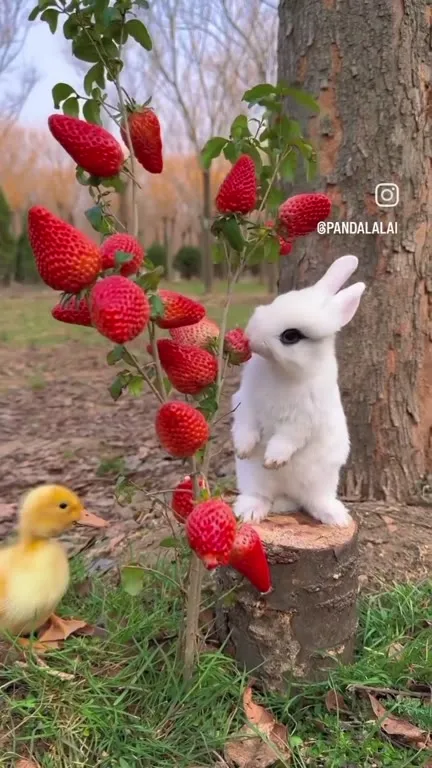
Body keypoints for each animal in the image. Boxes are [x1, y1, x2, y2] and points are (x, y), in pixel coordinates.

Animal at [231, 254, 365, 527]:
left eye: (291, 336)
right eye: (276, 302)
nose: (251, 336)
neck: (280, 371)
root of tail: (286, 497)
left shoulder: (304, 418)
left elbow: (286, 439)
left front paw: (273, 460)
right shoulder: (245, 403)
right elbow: (246, 426)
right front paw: (243, 449)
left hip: (322, 481)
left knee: (314, 501)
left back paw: (337, 518)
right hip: (252, 478)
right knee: (259, 496)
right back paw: (248, 512)